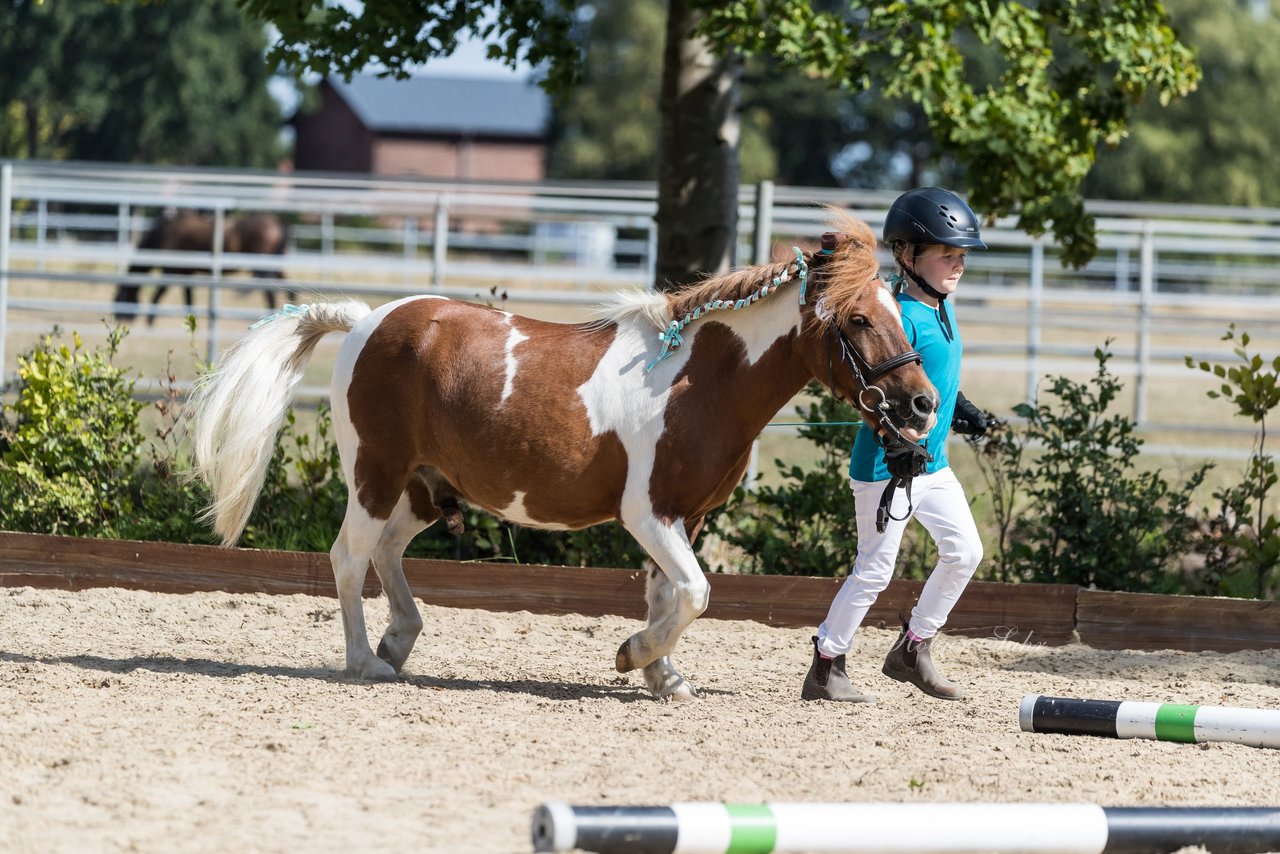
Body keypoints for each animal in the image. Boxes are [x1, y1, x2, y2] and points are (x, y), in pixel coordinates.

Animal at [112, 209, 293, 323]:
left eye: (120, 298)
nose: (119, 317)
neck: (165, 233)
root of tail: (277, 223)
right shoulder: (186, 273)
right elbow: (188, 298)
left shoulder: (172, 271)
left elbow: (159, 293)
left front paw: (150, 320)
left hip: (263, 269)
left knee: (269, 293)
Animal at [185, 212, 936, 701]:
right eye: (859, 319)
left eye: (901, 313)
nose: (923, 405)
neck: (700, 383)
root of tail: (364, 320)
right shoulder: (648, 514)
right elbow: (695, 593)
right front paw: (634, 655)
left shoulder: (684, 517)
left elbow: (669, 593)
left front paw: (663, 676)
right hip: (377, 474)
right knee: (348, 557)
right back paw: (364, 660)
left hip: (425, 488)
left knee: (387, 552)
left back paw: (400, 641)